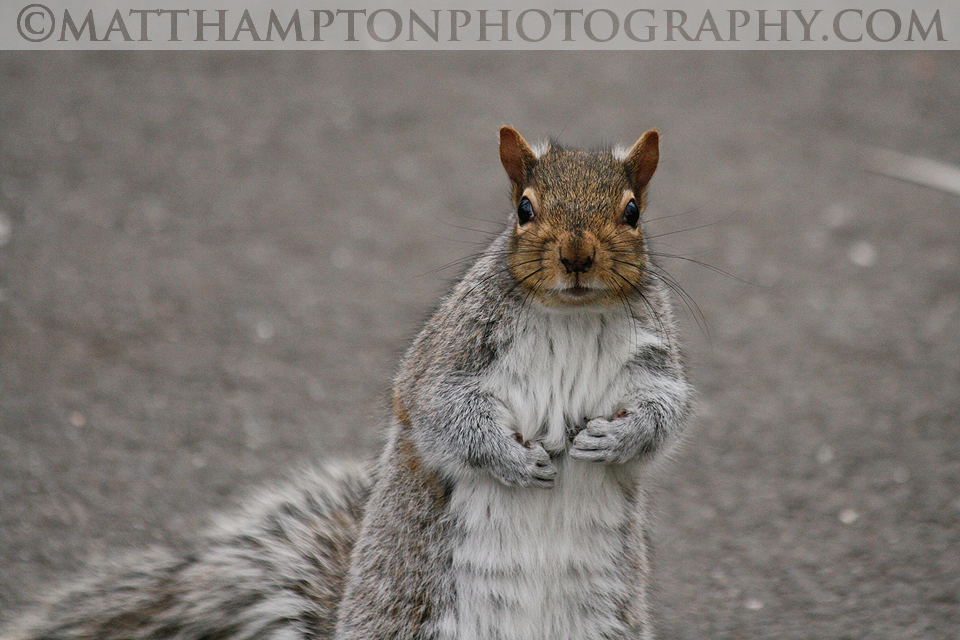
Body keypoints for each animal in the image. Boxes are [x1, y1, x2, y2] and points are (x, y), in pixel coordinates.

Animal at [1, 127, 692, 640]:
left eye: (633, 212)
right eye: (524, 209)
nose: (576, 257)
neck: (570, 314)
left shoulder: (657, 362)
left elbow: (666, 413)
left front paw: (616, 439)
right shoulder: (445, 357)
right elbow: (440, 412)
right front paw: (512, 459)